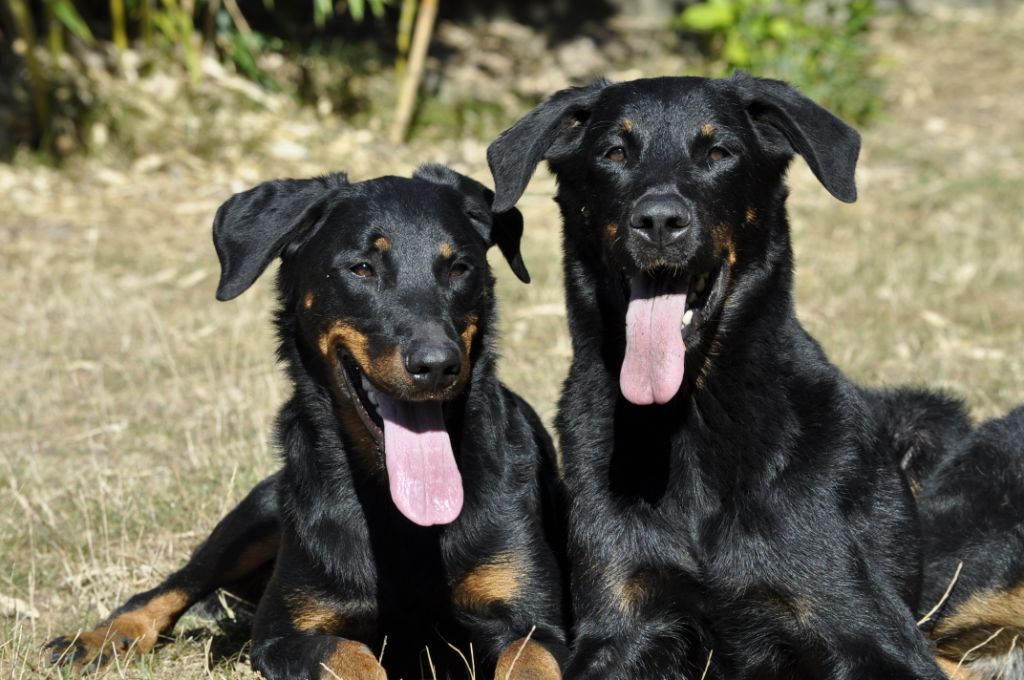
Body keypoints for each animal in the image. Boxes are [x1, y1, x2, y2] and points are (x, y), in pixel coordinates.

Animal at [48, 165, 569, 680]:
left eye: (459, 268)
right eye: (362, 268)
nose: (438, 364)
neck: (398, 512)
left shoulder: (542, 628)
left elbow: (529, 660)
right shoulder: (284, 635)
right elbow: (352, 658)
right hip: (256, 515)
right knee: (173, 585)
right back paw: (99, 638)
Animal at [485, 74, 1024, 680]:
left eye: (720, 153)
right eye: (614, 152)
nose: (659, 222)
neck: (688, 418)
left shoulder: (867, 631)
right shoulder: (620, 628)